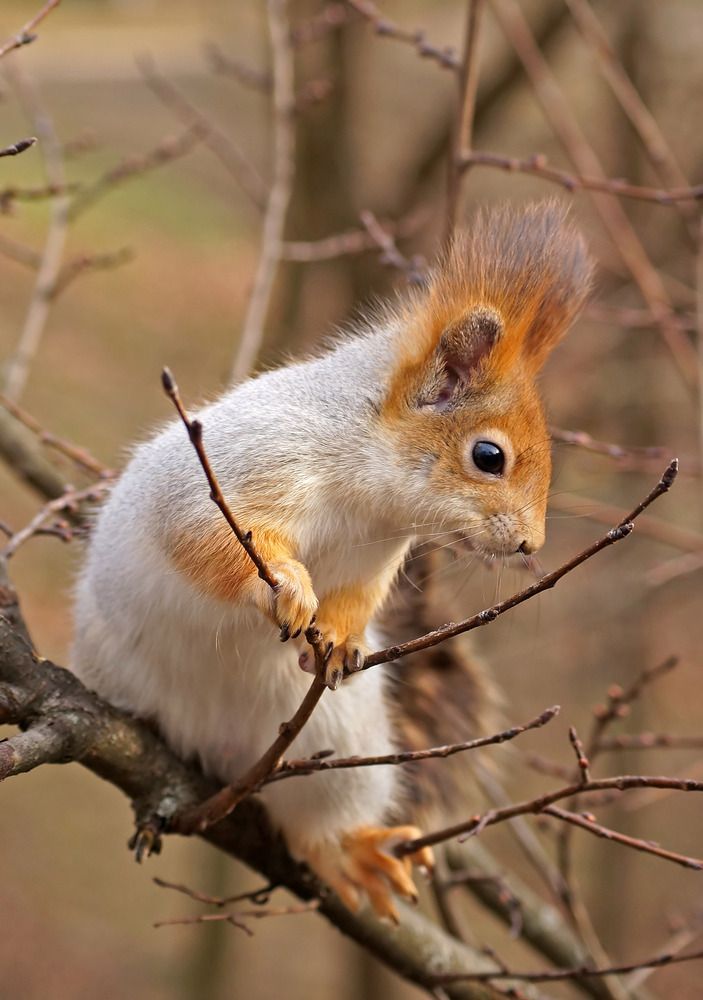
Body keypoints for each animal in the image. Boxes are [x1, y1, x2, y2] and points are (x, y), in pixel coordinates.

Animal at [71, 201, 592, 922]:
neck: (365, 491)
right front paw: (287, 587)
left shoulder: (373, 558)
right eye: (489, 456)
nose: (528, 546)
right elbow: (203, 535)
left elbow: (355, 600)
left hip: (340, 744)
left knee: (315, 821)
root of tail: (216, 752)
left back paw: (350, 852)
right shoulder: (246, 463)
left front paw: (342, 637)